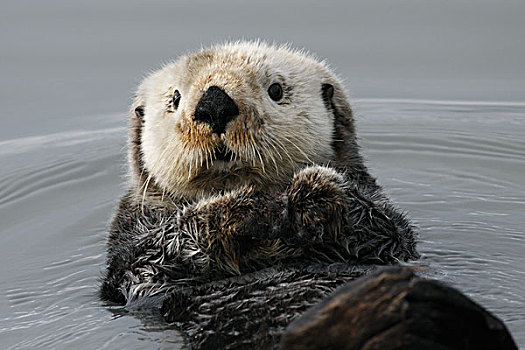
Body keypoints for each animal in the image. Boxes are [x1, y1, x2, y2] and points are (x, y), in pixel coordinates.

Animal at [101, 41, 422, 348]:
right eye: (175, 98)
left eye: (276, 90)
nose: (214, 104)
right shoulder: (130, 250)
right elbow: (152, 258)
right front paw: (245, 209)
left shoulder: (388, 233)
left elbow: (384, 232)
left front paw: (316, 192)